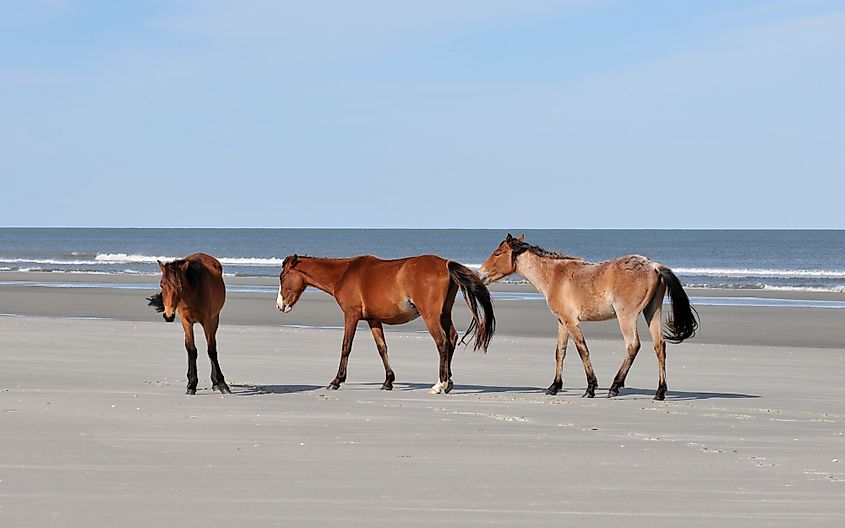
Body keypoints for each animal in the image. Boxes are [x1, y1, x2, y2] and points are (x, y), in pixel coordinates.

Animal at [147, 254, 229, 394]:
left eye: (180, 286)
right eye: (161, 284)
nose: (168, 315)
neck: (193, 294)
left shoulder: (208, 322)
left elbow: (211, 350)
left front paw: (222, 384)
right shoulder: (186, 322)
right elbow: (191, 350)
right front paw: (191, 385)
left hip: (214, 320)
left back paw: (215, 383)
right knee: (187, 346)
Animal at [274, 254, 494, 394]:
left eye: (283, 277)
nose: (280, 305)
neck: (344, 274)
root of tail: (446, 263)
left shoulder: (351, 316)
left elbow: (346, 347)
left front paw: (336, 381)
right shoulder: (374, 320)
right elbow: (382, 349)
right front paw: (388, 381)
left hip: (430, 315)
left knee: (442, 342)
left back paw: (439, 384)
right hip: (444, 313)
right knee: (452, 338)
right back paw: (448, 381)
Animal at [478, 235, 696, 400]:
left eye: (497, 253)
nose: (480, 274)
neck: (555, 275)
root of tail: (654, 266)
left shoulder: (571, 321)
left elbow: (582, 350)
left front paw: (590, 388)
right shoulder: (562, 322)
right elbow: (560, 352)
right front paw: (554, 386)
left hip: (626, 317)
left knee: (633, 345)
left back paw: (614, 387)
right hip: (652, 312)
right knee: (659, 346)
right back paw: (660, 392)